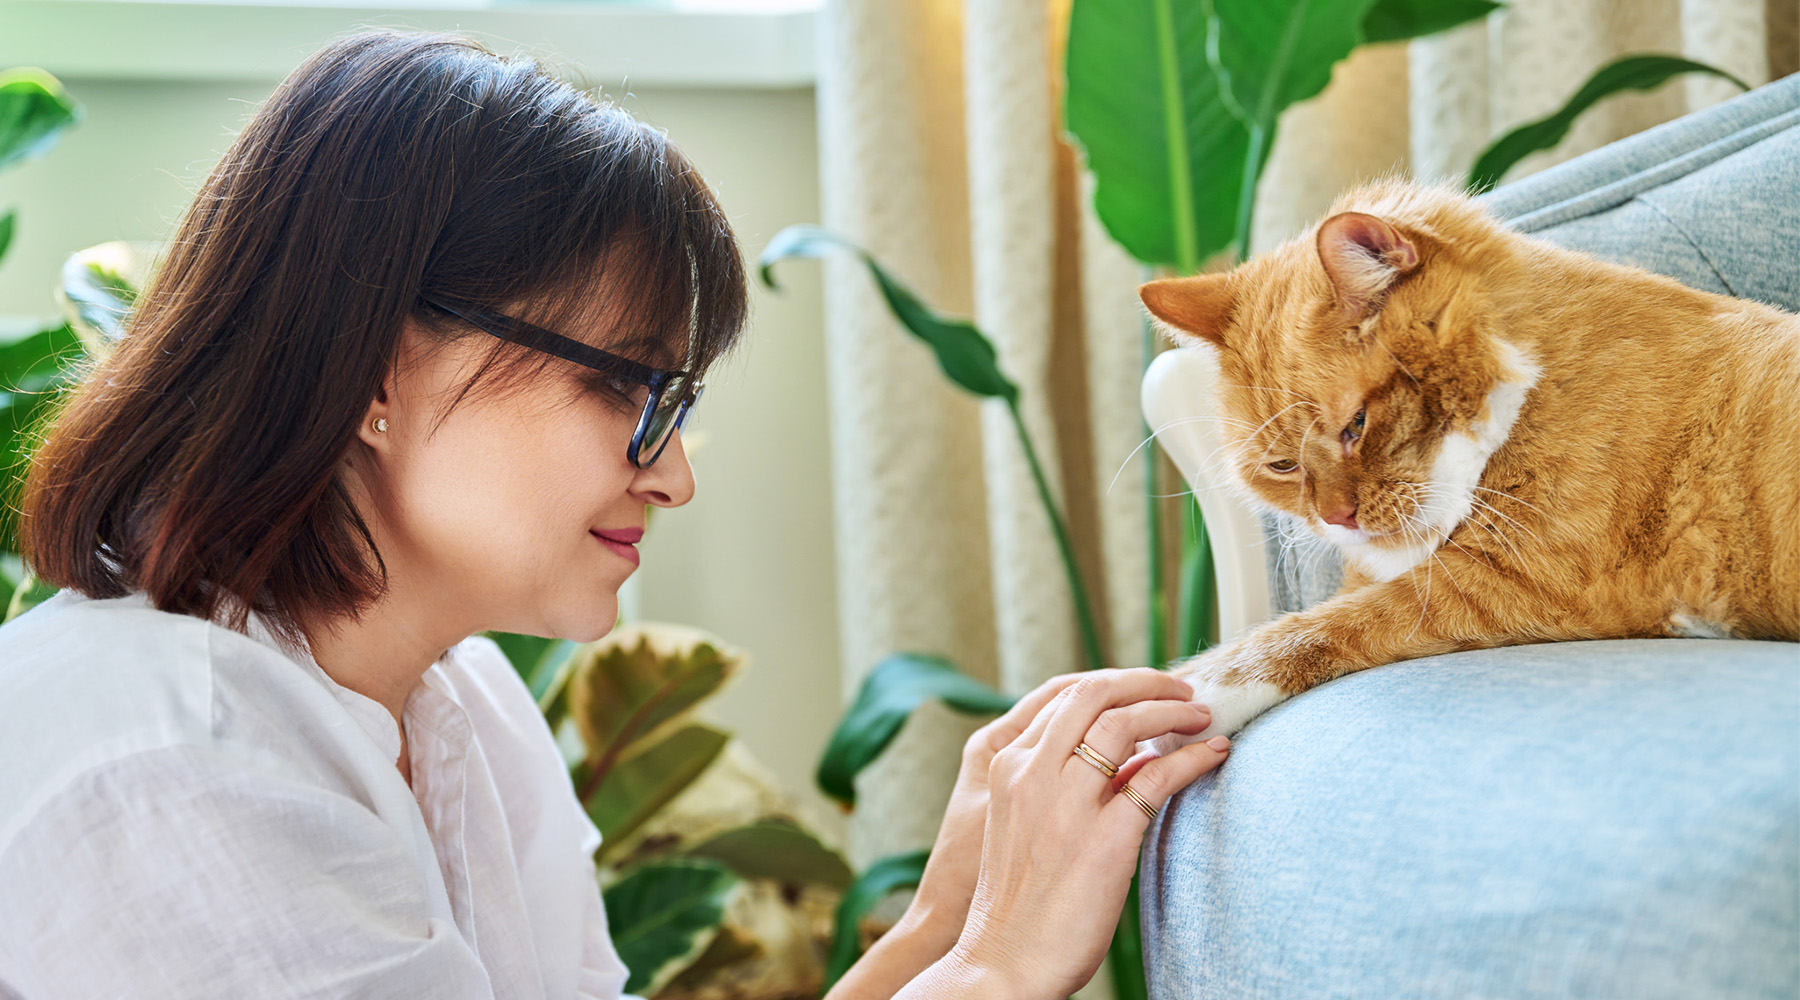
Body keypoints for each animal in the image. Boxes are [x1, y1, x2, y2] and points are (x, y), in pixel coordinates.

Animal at [1137, 181, 1800, 741]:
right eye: (1282, 467)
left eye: (1356, 426)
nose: (1336, 518)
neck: (1535, 380)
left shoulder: (1512, 584)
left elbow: (1321, 625)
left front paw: (1195, 691)